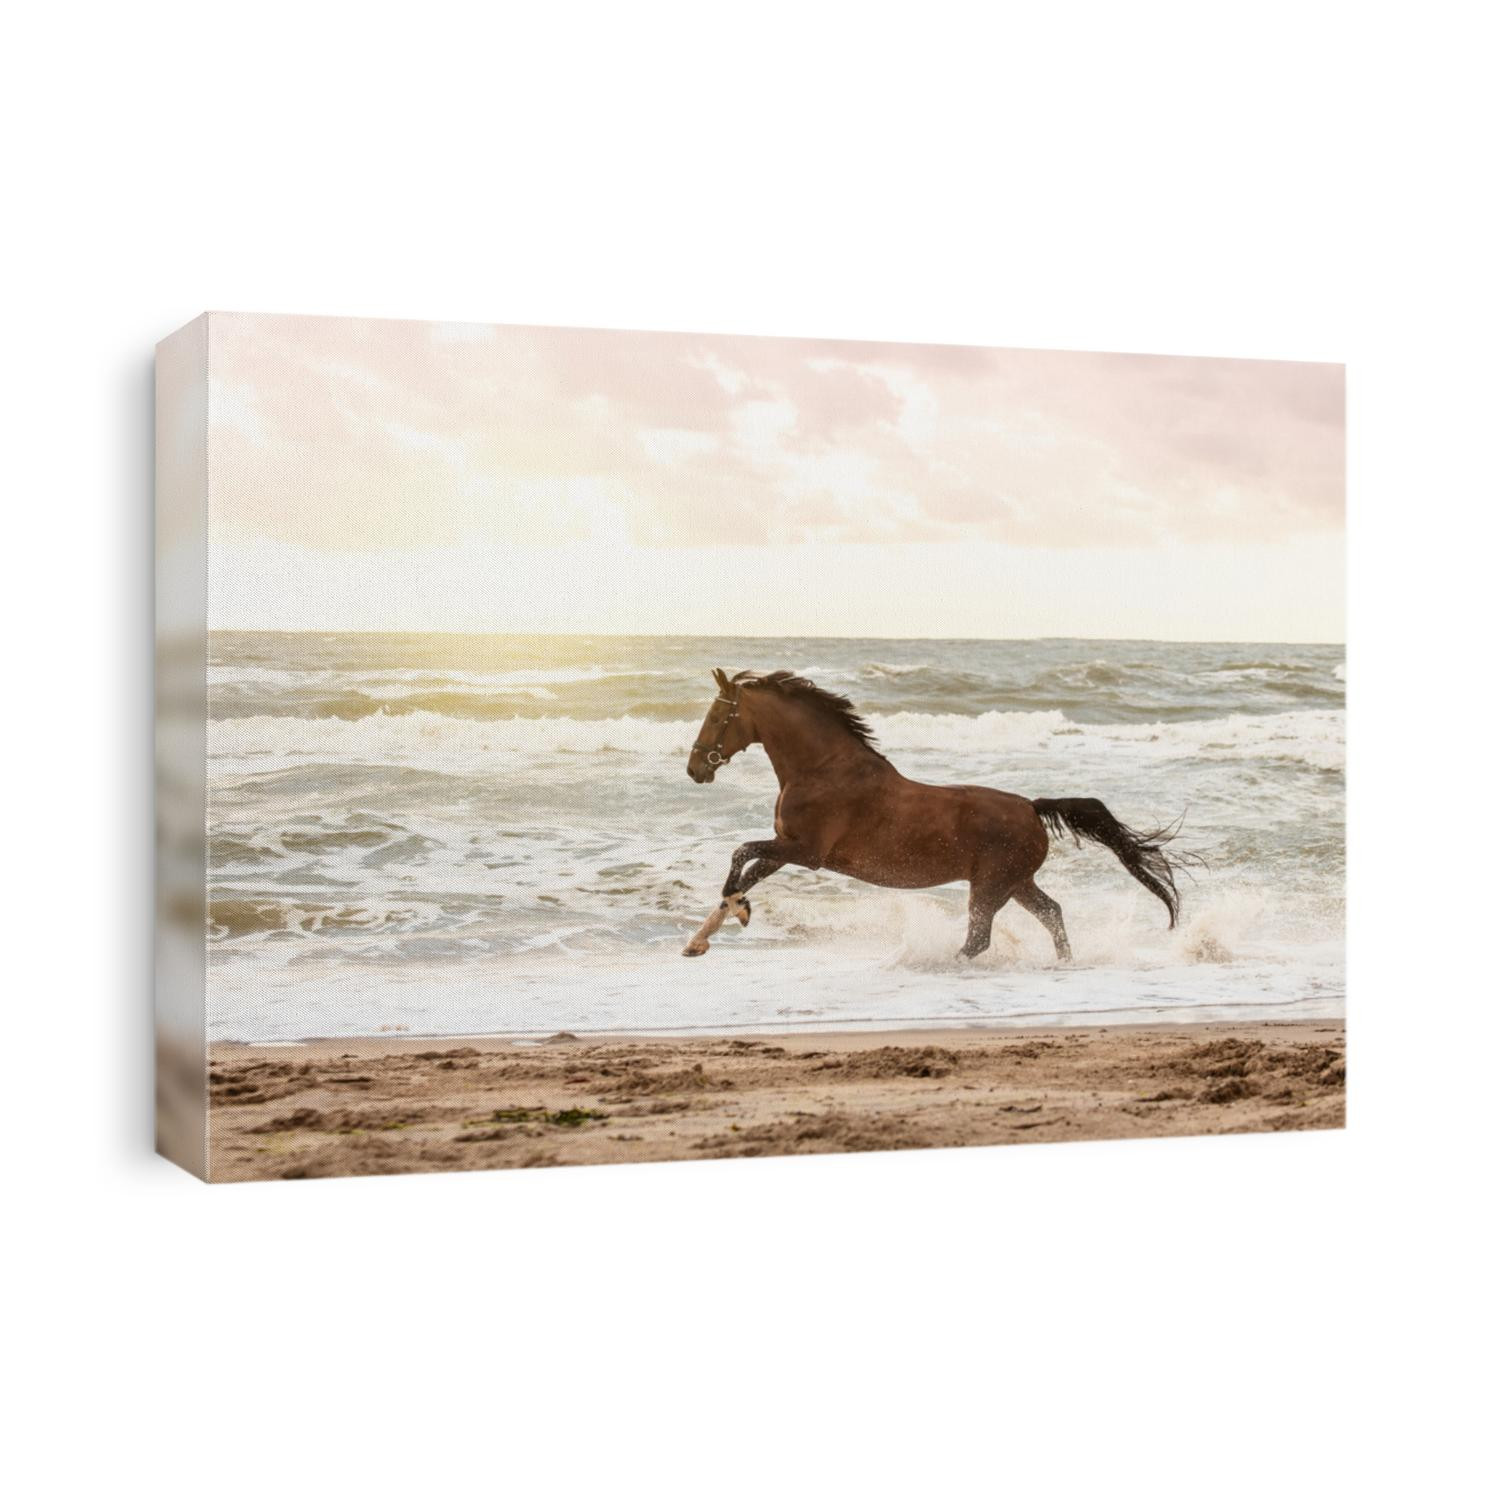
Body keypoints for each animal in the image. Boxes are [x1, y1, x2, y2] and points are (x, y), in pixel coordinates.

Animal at [681, 667, 1193, 960]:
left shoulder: (806, 852)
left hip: (991, 886)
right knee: (1051, 913)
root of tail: (1032, 808)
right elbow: (745, 872)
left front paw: (739, 912)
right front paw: (702, 939)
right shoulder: (788, 850)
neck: (822, 769)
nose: (693, 769)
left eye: (716, 717)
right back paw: (1064, 964)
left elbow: (739, 855)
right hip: (1017, 883)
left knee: (980, 937)